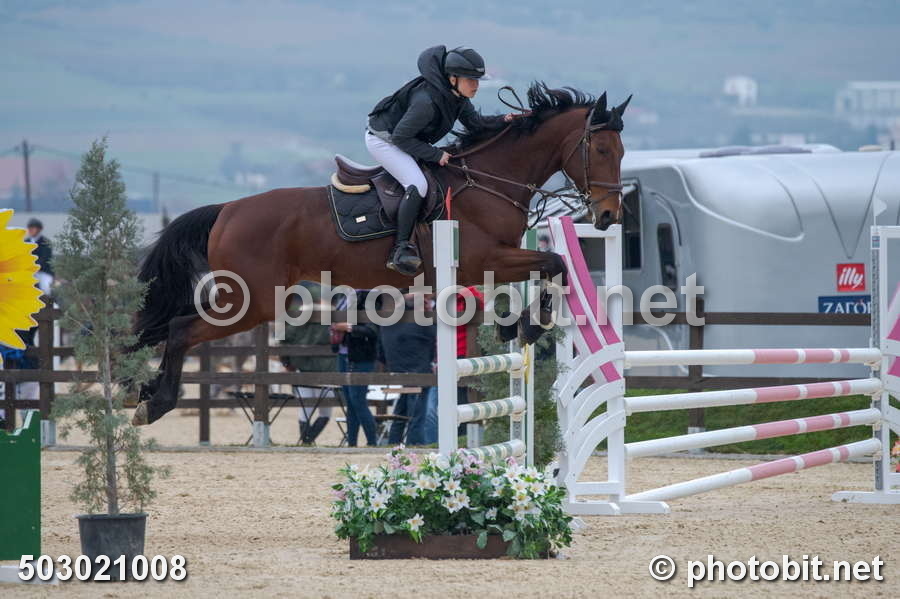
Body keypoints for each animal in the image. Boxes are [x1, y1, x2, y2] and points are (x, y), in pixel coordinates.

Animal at [131, 83, 631, 425]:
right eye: (602, 148)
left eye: (622, 150)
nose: (609, 215)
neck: (489, 180)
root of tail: (227, 210)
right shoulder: (484, 259)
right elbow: (555, 263)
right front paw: (530, 324)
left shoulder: (489, 264)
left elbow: (543, 273)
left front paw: (516, 325)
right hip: (253, 300)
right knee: (179, 329)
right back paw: (154, 403)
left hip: (251, 298)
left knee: (177, 328)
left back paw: (146, 394)